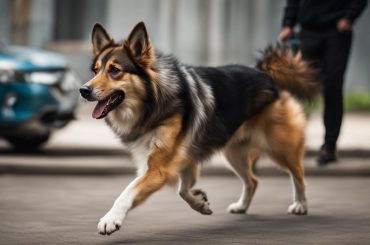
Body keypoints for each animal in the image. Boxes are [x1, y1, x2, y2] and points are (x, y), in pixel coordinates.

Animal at [80, 21, 318, 235]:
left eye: (114, 70)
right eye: (95, 70)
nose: (83, 90)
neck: (153, 102)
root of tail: (265, 74)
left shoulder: (158, 169)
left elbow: (128, 192)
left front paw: (111, 219)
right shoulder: (182, 159)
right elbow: (183, 190)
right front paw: (200, 203)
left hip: (280, 147)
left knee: (299, 174)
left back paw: (301, 205)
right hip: (234, 154)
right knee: (253, 180)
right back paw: (242, 206)